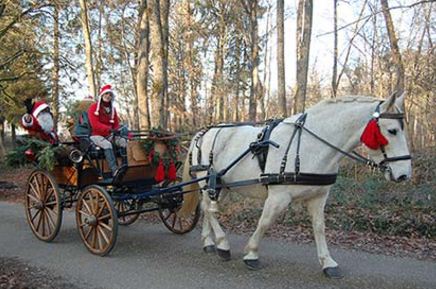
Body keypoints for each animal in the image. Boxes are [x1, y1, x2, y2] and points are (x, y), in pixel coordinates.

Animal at [184, 91, 412, 276]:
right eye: (392, 130)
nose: (404, 174)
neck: (311, 145)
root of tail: (203, 133)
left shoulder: (318, 197)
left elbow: (319, 228)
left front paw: (327, 262)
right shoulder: (278, 197)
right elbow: (265, 222)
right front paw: (251, 254)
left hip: (220, 186)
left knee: (207, 209)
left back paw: (210, 242)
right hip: (208, 181)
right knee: (210, 209)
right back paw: (222, 244)